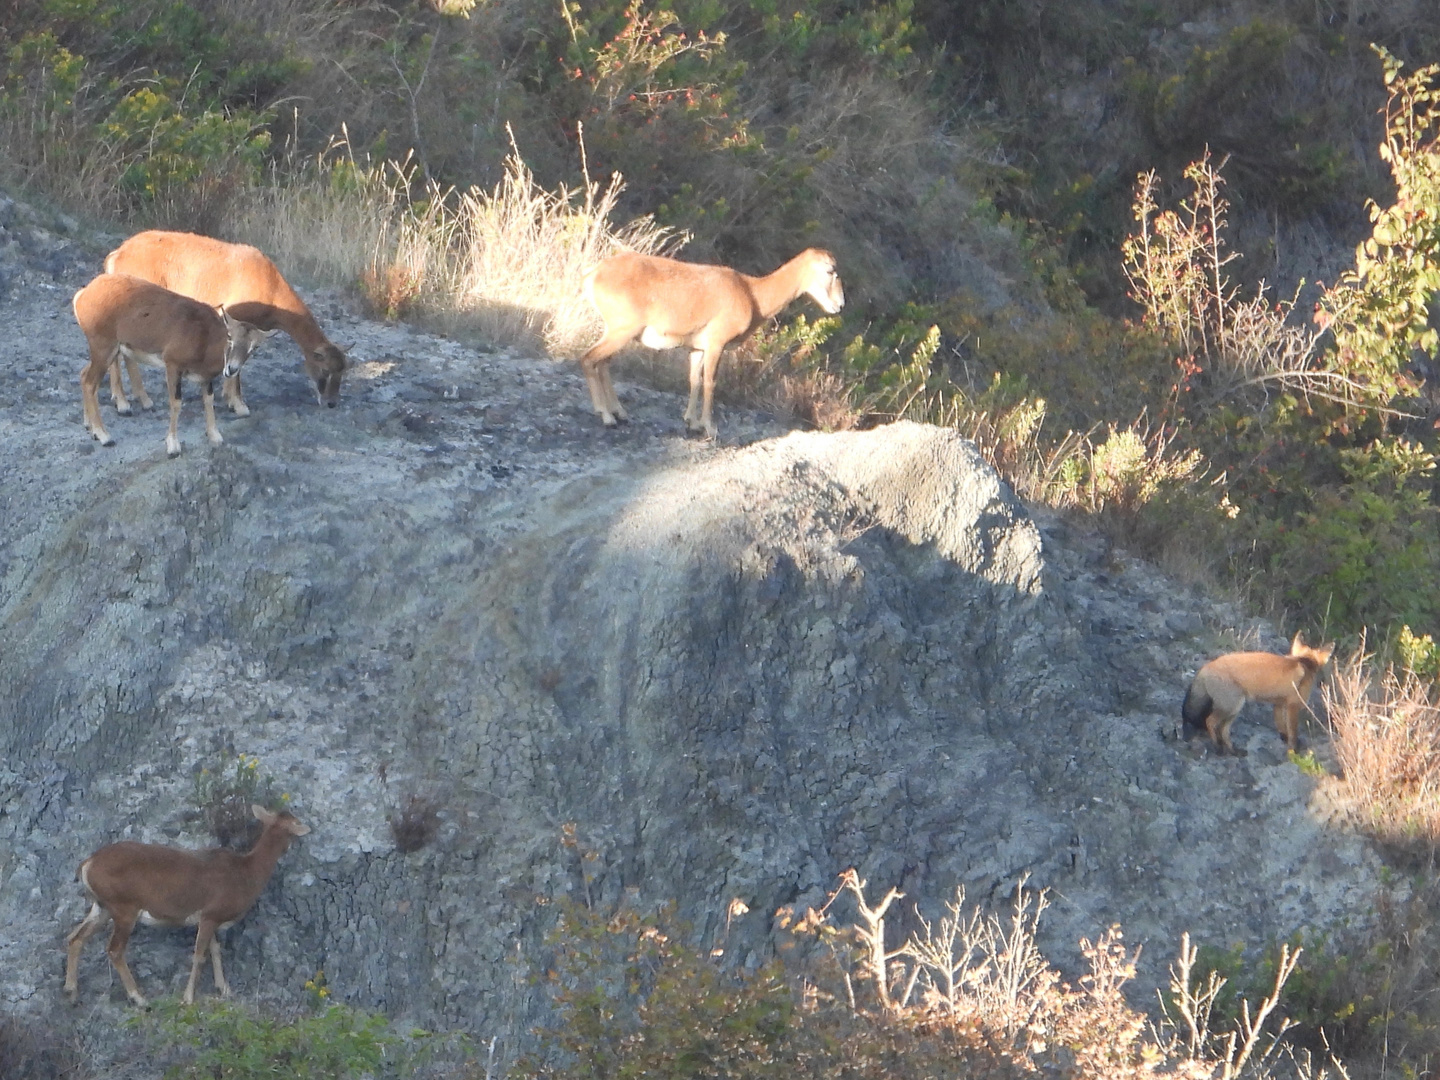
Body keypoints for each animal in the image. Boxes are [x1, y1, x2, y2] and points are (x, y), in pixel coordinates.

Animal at [1180, 630, 1336, 754]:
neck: (1304, 662)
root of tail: (1205, 668)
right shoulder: (1293, 706)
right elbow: (1293, 732)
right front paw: (1293, 750)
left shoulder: (1278, 704)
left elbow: (1282, 728)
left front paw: (1284, 740)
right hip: (1231, 706)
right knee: (1210, 722)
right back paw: (1217, 747)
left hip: (1234, 709)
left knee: (1223, 730)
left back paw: (1233, 751)